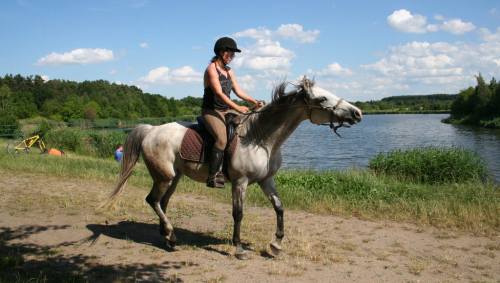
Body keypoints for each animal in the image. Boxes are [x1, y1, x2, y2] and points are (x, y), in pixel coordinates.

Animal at [102, 76, 364, 260]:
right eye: (322, 99)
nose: (357, 113)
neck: (260, 138)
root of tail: (150, 129)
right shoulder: (241, 182)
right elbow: (238, 214)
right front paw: (238, 248)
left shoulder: (266, 180)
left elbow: (279, 208)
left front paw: (276, 245)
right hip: (164, 176)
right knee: (152, 200)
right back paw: (171, 234)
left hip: (174, 178)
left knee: (162, 202)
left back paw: (167, 236)